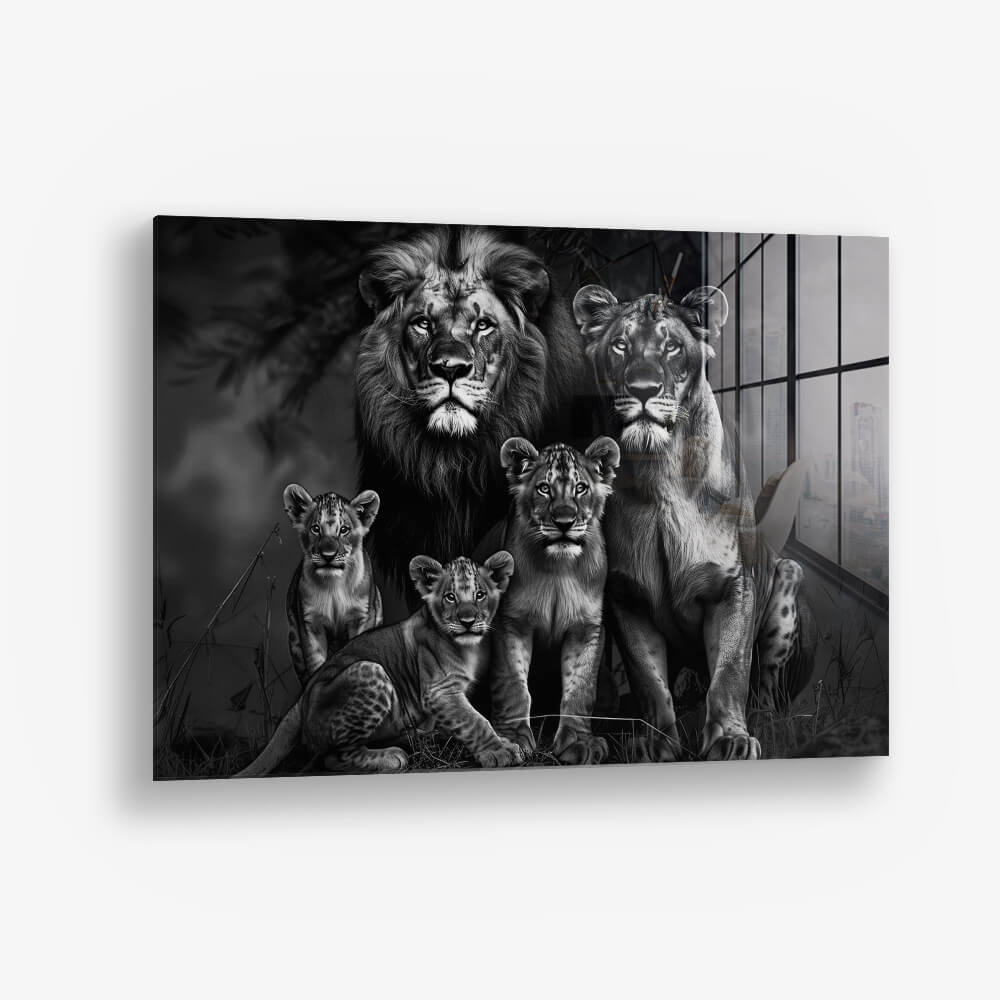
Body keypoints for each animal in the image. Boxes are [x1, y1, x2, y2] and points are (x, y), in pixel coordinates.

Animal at [234, 552, 521, 777]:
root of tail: (302, 700)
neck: (468, 646)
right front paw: (499, 751)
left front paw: (504, 742)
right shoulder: (439, 691)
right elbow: (474, 721)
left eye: (480, 595)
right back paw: (392, 756)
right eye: (450, 597)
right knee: (333, 757)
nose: (468, 621)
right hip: (371, 670)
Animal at [282, 483, 383, 686]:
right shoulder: (311, 624)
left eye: (344, 529)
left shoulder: (362, 618)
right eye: (315, 529)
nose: (328, 555)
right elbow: (316, 664)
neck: (334, 585)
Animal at [573, 283, 817, 761]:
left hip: (787, 576)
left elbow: (730, 672)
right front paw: (656, 743)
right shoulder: (626, 596)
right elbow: (649, 680)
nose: (643, 388)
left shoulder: (733, 587)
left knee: (767, 691)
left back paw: (769, 724)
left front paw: (731, 740)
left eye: (671, 346)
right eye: (620, 345)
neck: (659, 473)